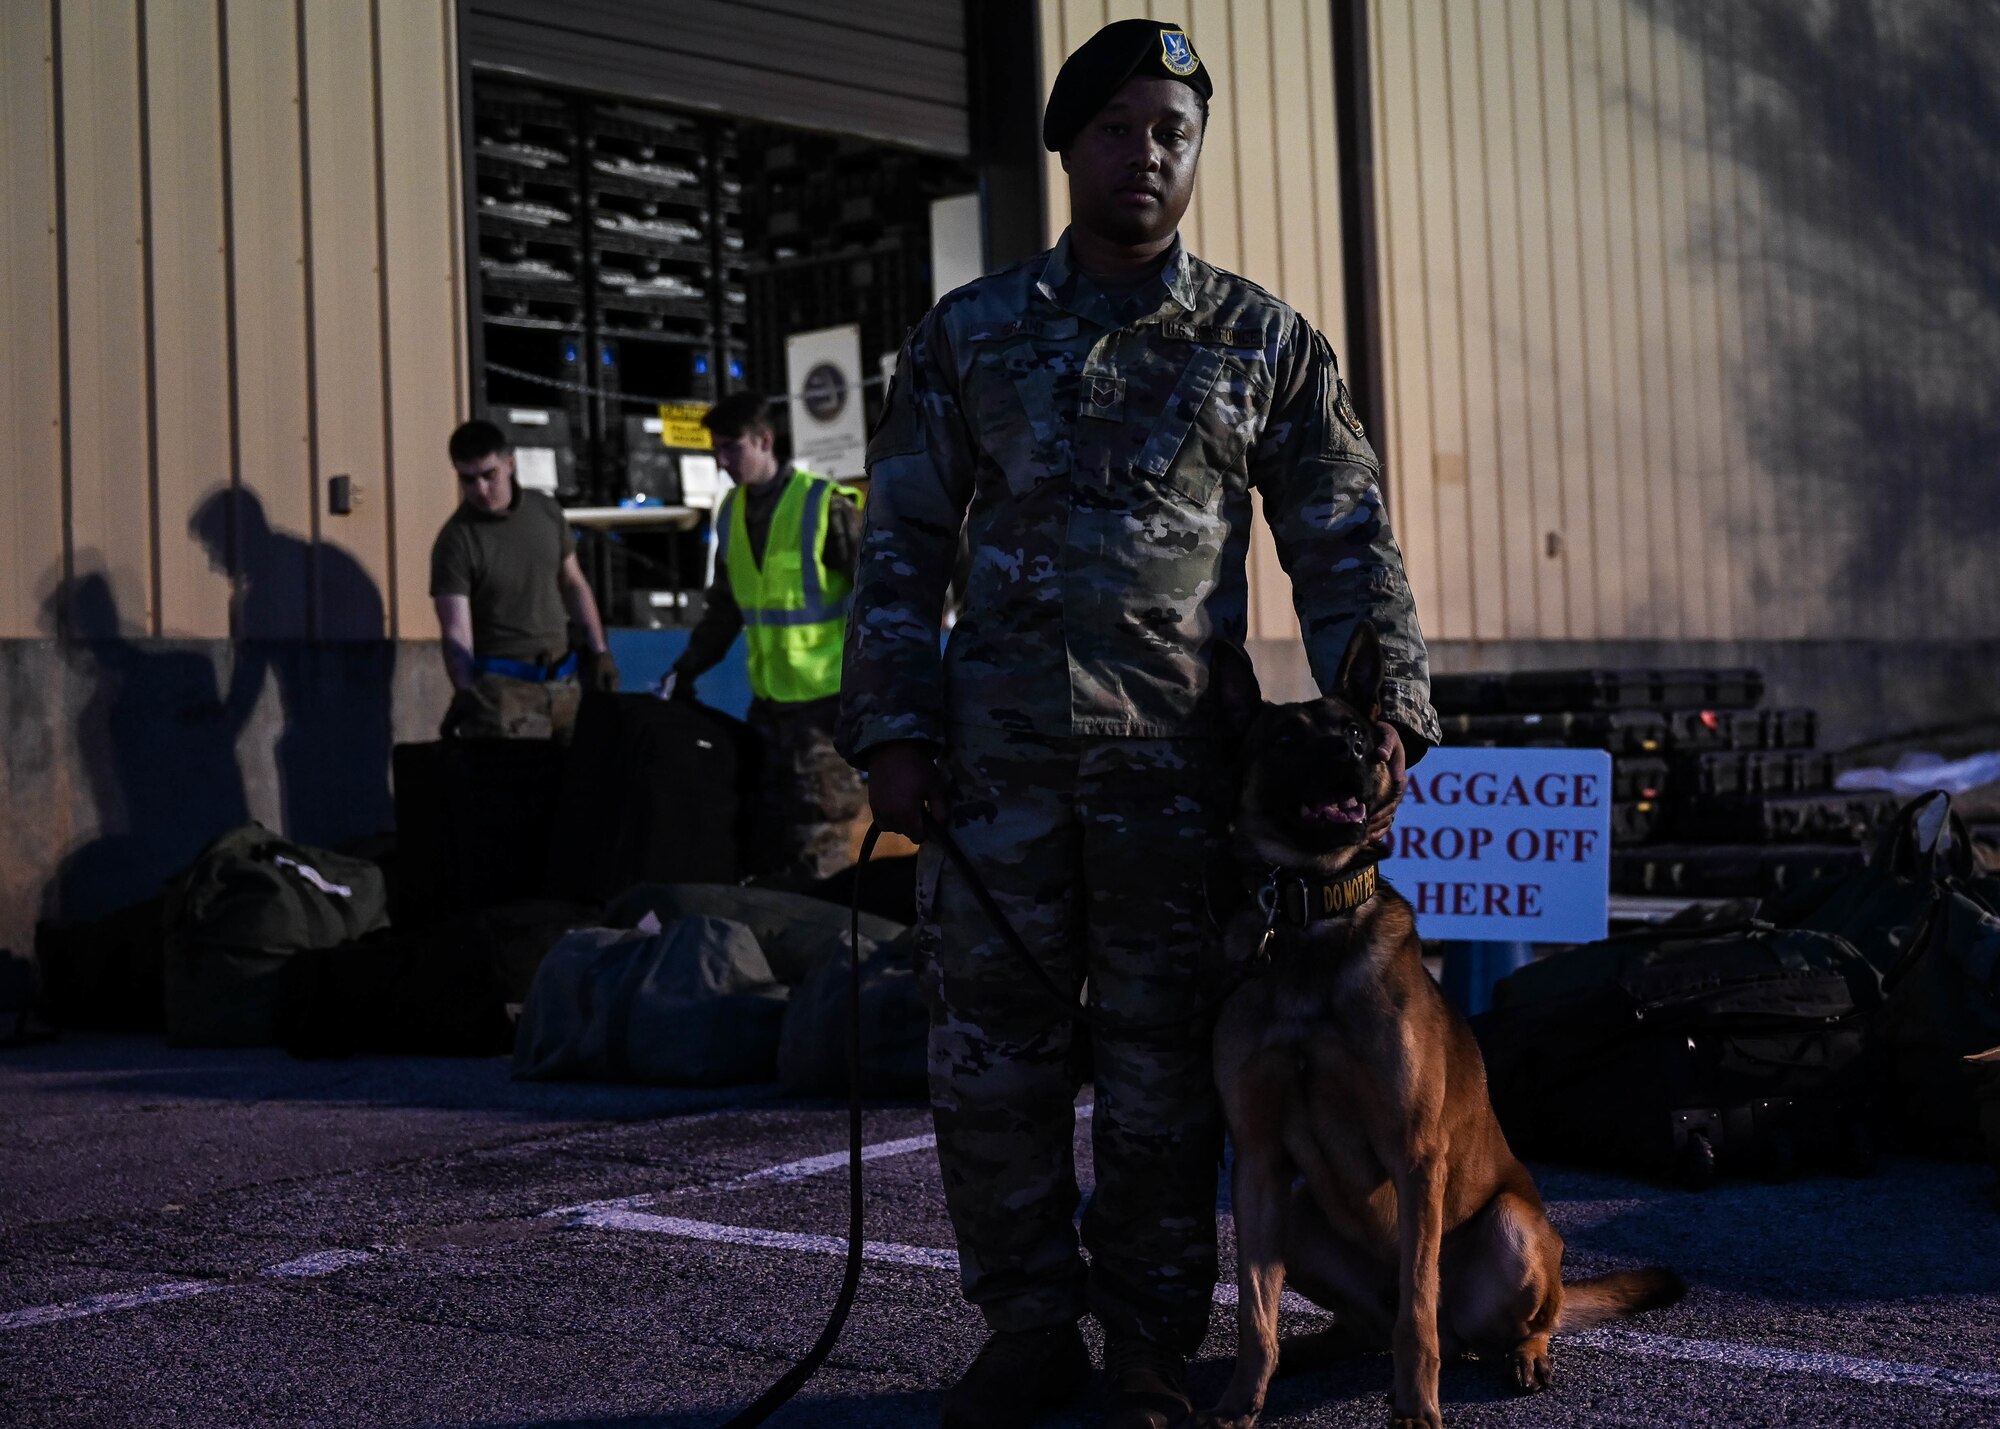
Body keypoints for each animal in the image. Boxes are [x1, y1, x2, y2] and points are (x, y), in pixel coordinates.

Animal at [1192, 624, 1680, 1424]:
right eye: (1288, 738)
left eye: (1359, 732)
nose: (1357, 754)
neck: (1311, 913)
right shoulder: (1259, 1163)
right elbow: (1255, 1310)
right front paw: (1241, 1398)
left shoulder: (1417, 1157)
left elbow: (1416, 1309)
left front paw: (1417, 1407)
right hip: (1297, 1211)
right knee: (1362, 1323)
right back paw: (1304, 1352)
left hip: (1513, 1233)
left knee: (1509, 1319)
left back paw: (1523, 1356)